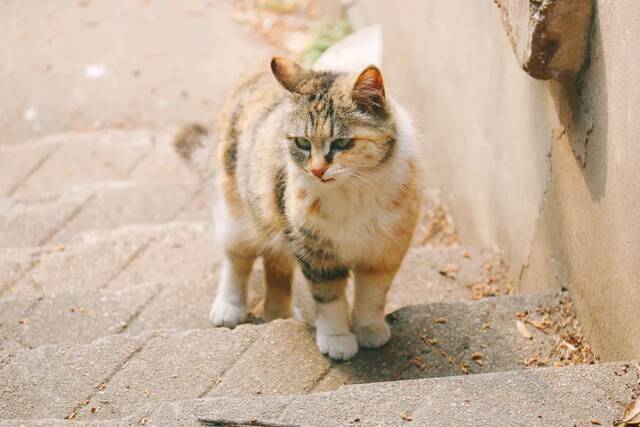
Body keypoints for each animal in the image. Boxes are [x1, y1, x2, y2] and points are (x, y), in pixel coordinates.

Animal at [175, 56, 422, 358]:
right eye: (302, 142)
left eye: (342, 142)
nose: (317, 170)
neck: (353, 192)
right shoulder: (316, 252)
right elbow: (329, 299)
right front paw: (337, 339)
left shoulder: (384, 251)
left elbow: (373, 295)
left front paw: (369, 329)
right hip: (239, 214)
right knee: (237, 260)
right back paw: (229, 308)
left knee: (276, 267)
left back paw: (279, 313)